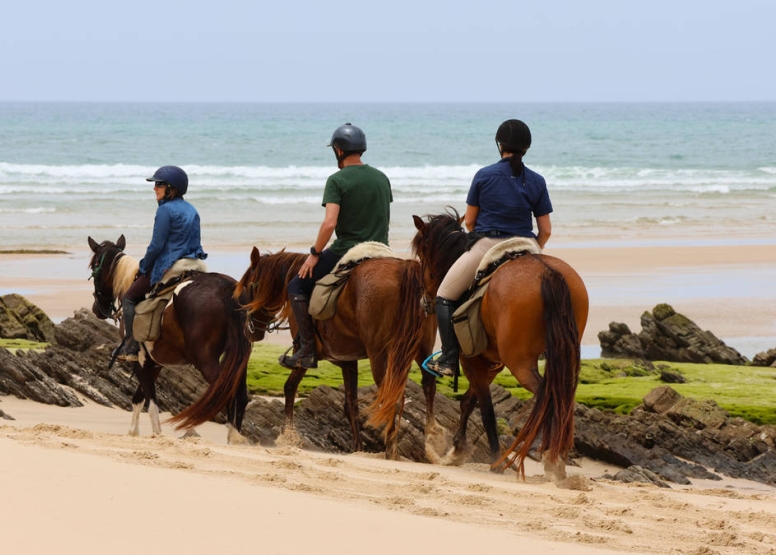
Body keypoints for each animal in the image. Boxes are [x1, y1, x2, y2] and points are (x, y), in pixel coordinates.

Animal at [88, 235, 253, 444]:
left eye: (94, 266)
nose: (96, 309)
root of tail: (226, 287)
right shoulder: (155, 363)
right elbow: (139, 399)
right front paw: (133, 432)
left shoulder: (141, 360)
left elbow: (150, 403)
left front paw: (156, 434)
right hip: (240, 359)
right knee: (240, 395)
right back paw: (236, 437)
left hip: (206, 360)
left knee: (225, 392)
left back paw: (233, 437)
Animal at [233, 248, 440, 460]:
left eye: (249, 287)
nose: (250, 331)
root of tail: (404, 268)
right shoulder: (348, 361)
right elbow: (351, 405)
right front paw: (358, 448)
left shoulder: (304, 356)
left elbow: (289, 388)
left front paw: (287, 436)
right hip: (421, 349)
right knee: (428, 386)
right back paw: (431, 443)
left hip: (380, 356)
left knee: (392, 396)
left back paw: (392, 450)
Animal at [412, 211, 588, 480]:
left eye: (422, 254)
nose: (425, 301)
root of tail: (547, 272)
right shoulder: (491, 363)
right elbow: (468, 402)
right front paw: (457, 450)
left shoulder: (472, 360)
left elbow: (485, 410)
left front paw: (493, 458)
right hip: (564, 355)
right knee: (563, 397)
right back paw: (557, 457)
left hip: (520, 363)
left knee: (547, 395)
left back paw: (549, 456)